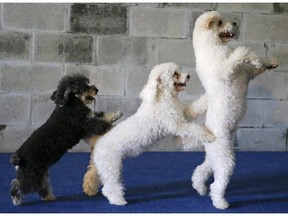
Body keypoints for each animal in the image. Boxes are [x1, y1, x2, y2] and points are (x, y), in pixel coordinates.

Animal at [10, 74, 116, 206]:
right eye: (82, 85)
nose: (96, 89)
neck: (69, 103)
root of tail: (19, 158)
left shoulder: (86, 129)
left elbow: (101, 115)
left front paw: (115, 115)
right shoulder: (86, 123)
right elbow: (102, 124)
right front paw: (114, 125)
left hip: (41, 173)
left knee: (41, 187)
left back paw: (49, 197)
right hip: (32, 174)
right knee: (18, 185)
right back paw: (16, 200)